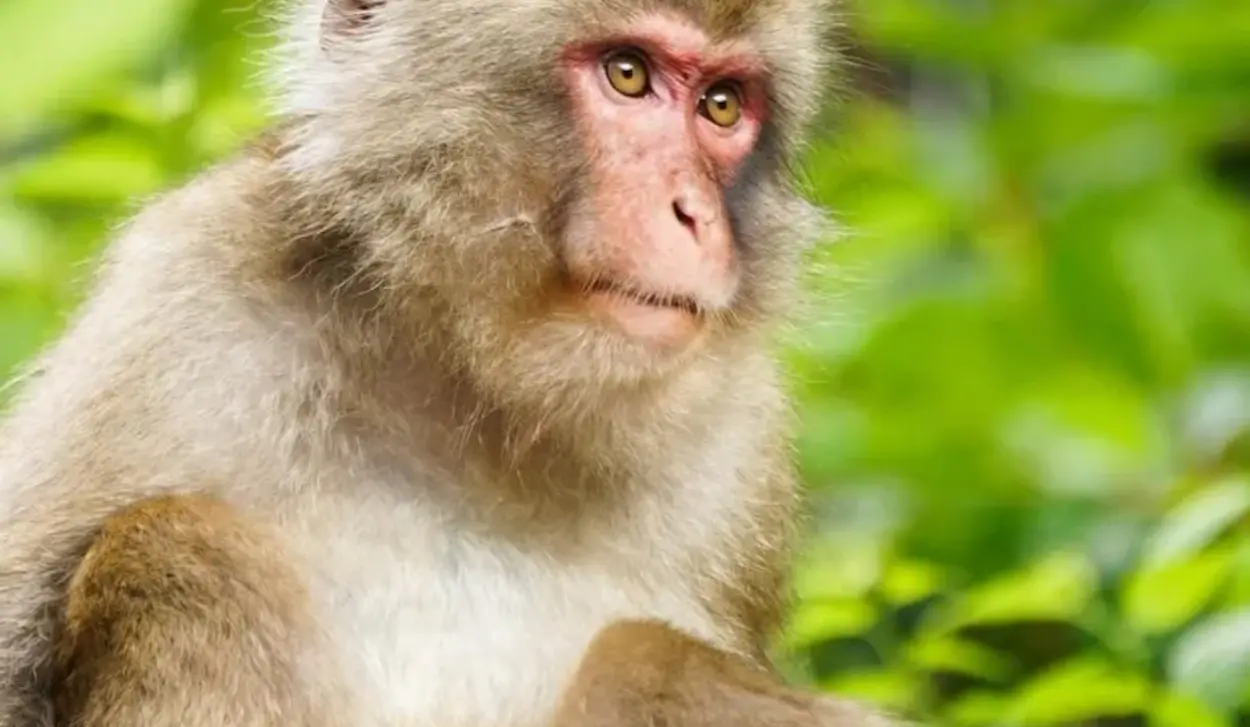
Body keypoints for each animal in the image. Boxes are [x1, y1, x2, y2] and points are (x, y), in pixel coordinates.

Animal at [0, 0, 896, 724]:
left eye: (722, 104)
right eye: (628, 74)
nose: (694, 215)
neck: (477, 400)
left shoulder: (744, 441)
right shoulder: (182, 303)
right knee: (178, 547)